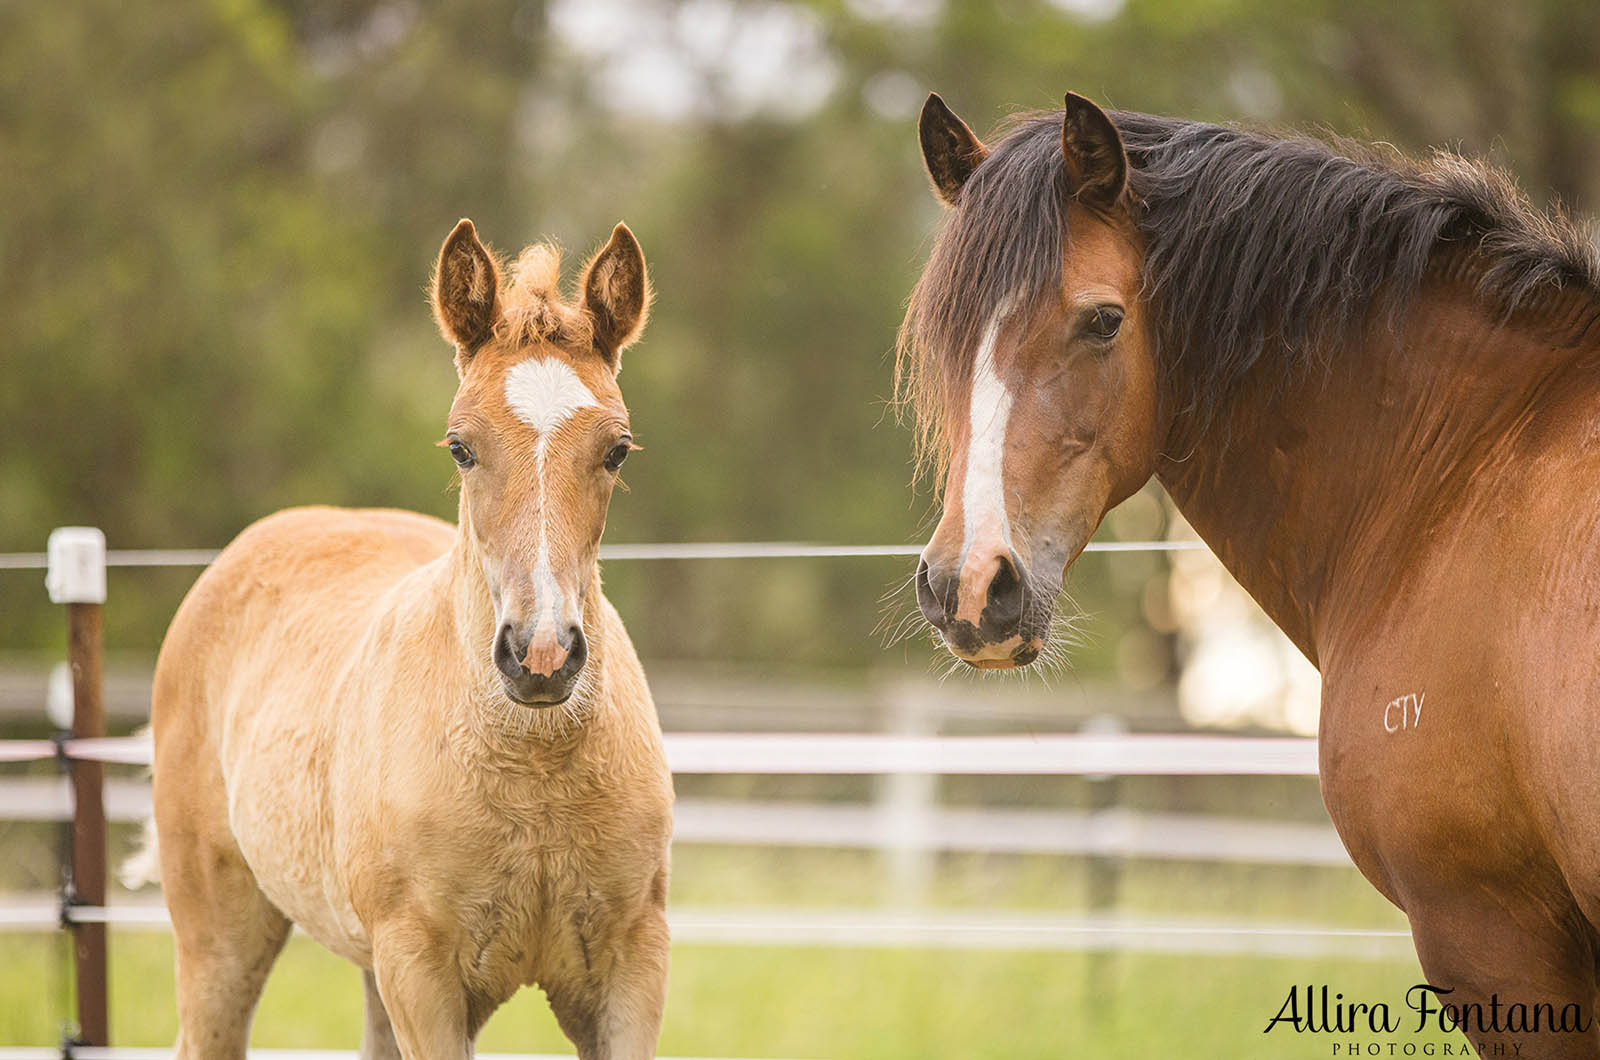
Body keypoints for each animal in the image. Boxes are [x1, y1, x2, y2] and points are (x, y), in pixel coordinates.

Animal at [137, 219, 675, 1056]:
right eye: (461, 447)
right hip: (221, 934)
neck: (535, 774)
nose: (542, 655)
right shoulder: (420, 974)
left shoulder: (631, 965)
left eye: (616, 448)